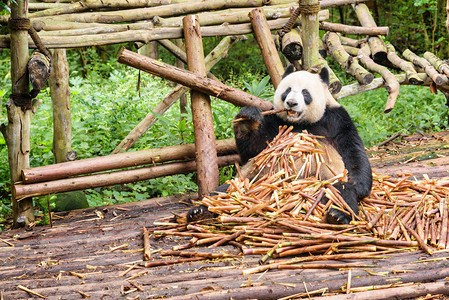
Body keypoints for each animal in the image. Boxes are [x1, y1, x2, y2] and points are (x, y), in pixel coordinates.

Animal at [186, 66, 372, 225]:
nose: (291, 103)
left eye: (305, 93)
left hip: (324, 181)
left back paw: (337, 215)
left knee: (339, 193)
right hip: (250, 179)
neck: (301, 122)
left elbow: (353, 151)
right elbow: (254, 151)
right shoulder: (276, 122)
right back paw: (200, 211)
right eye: (287, 90)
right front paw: (247, 119)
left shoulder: (336, 119)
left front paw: (358, 185)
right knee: (224, 191)